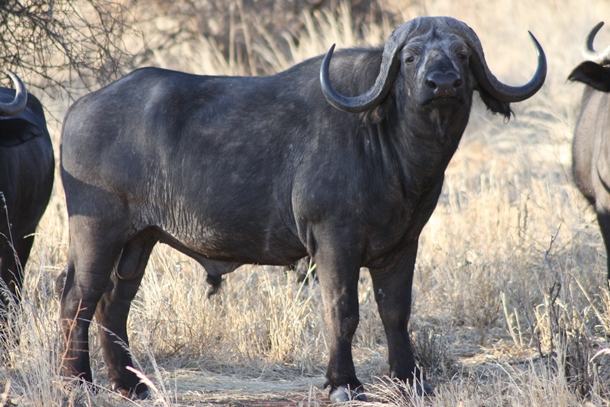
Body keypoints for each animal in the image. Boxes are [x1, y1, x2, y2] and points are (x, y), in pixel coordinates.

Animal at [58, 16, 548, 402]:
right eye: (410, 59)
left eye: (462, 54)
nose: (443, 83)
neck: (388, 147)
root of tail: (79, 107)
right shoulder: (335, 244)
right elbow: (343, 311)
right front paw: (344, 382)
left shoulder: (402, 246)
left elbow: (396, 311)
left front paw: (409, 378)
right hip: (97, 232)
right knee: (78, 300)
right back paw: (77, 382)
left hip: (139, 241)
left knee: (112, 305)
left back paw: (130, 384)